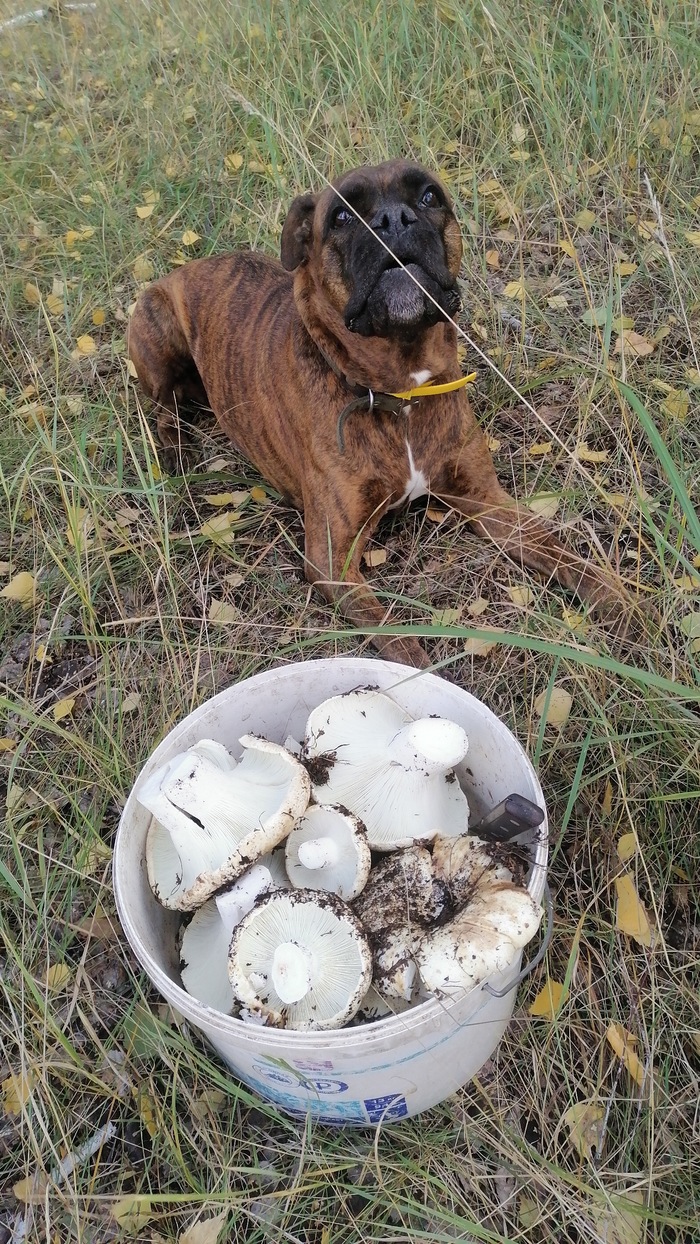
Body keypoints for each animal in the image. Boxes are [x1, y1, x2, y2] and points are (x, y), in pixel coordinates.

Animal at [128, 157, 626, 671]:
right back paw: (176, 453)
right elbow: (402, 647)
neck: (398, 388)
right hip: (154, 332)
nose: (393, 220)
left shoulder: (489, 502)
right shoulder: (334, 559)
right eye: (342, 217)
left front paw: (625, 607)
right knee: (163, 410)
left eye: (428, 197)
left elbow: (566, 555)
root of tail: (182, 269)